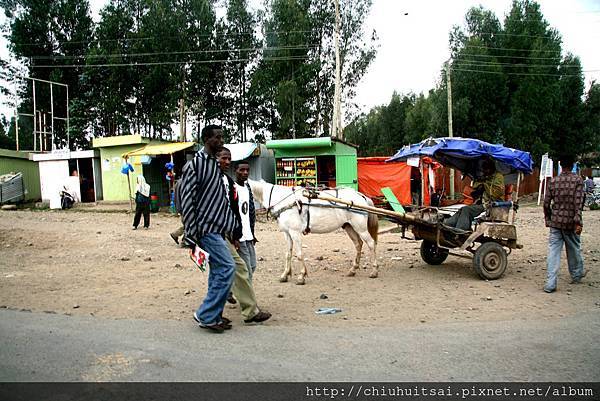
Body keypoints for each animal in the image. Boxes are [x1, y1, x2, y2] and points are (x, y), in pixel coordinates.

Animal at [246, 180, 378, 282]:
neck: (283, 201)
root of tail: (361, 196)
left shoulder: (295, 232)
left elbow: (299, 254)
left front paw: (301, 276)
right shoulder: (287, 233)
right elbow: (288, 254)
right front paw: (285, 275)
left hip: (360, 228)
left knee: (371, 244)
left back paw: (374, 271)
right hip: (348, 227)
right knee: (358, 244)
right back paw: (353, 270)